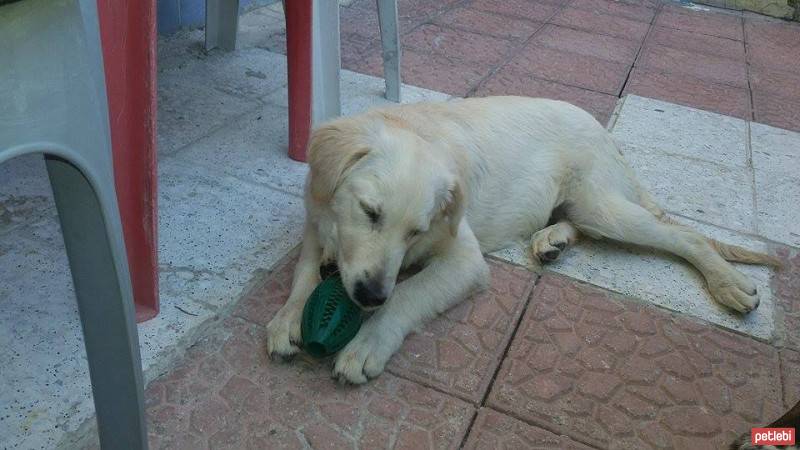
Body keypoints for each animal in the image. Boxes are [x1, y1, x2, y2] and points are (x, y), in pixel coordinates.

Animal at [266, 95, 780, 384]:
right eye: (370, 213)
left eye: (416, 231)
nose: (370, 296)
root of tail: (606, 133)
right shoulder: (314, 220)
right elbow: (304, 271)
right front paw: (288, 317)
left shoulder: (464, 258)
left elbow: (408, 294)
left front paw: (369, 342)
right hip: (589, 208)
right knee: (578, 224)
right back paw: (553, 239)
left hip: (603, 206)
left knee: (686, 237)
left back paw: (730, 283)